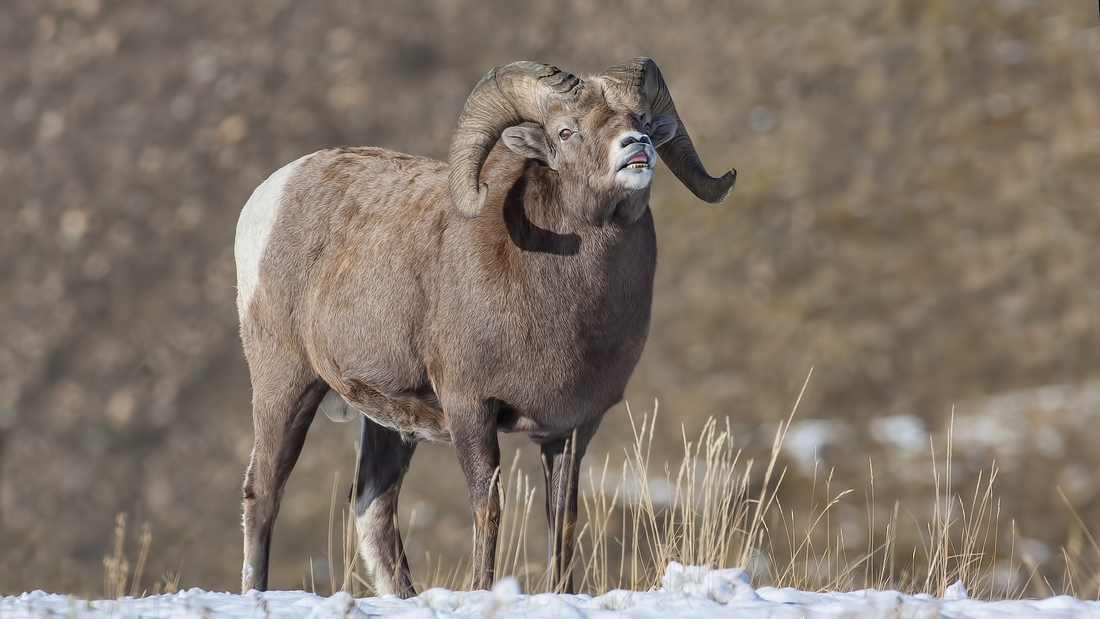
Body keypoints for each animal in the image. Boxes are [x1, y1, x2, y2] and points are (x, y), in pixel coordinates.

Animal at [235, 58, 734, 593]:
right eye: (565, 131)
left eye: (641, 118)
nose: (635, 146)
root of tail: (271, 193)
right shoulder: (470, 407)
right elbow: (487, 508)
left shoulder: (572, 429)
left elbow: (563, 518)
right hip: (286, 383)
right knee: (264, 490)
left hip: (388, 422)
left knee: (373, 506)